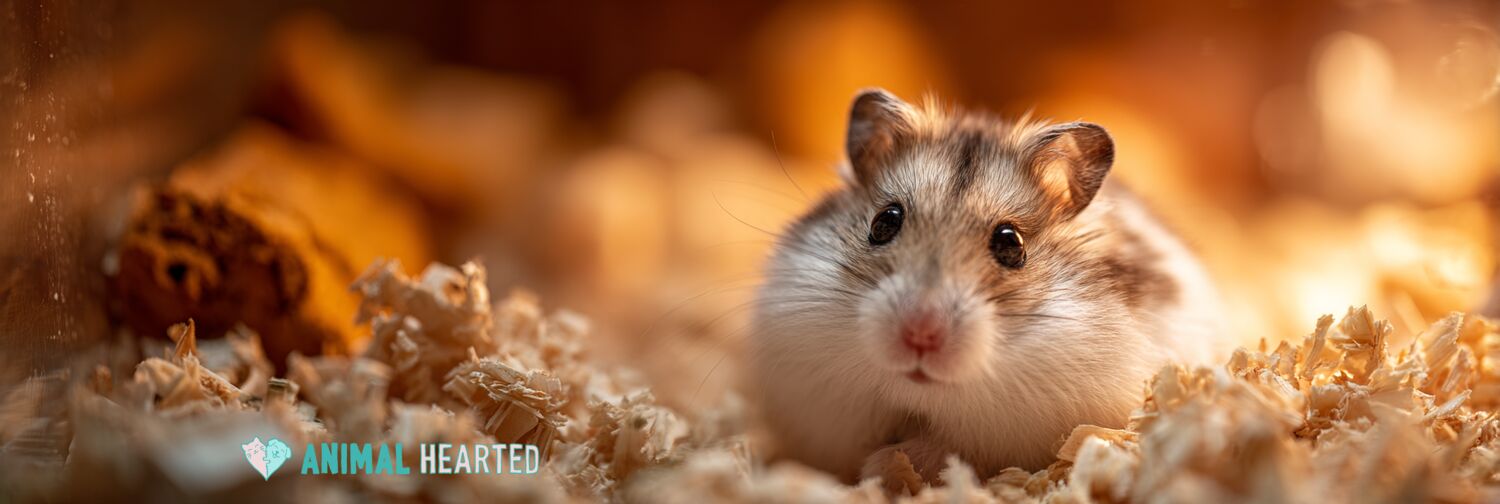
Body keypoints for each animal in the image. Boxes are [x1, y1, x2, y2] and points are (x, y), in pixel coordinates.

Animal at [748, 89, 1227, 482]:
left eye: (1010, 244)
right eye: (884, 222)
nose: (920, 335)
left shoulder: (1011, 431)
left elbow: (943, 450)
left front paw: (882, 466)